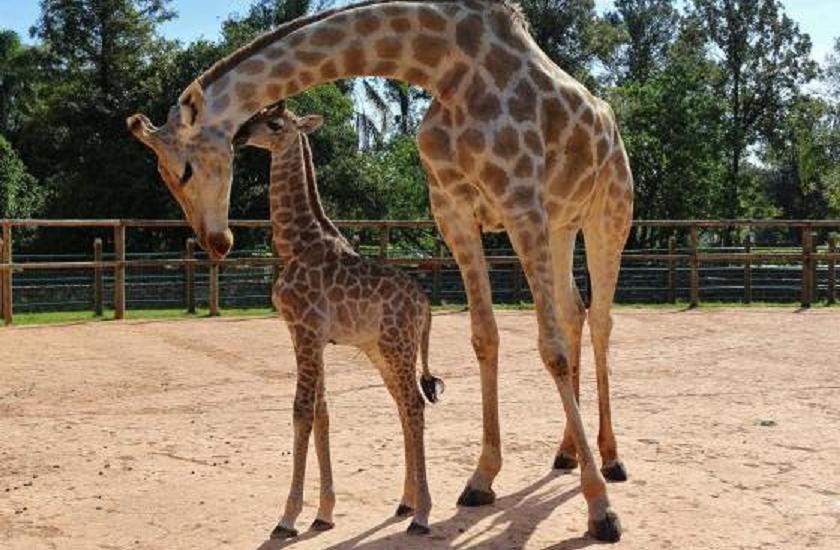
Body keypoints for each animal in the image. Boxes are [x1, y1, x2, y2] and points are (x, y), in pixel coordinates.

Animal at [235, 103, 446, 540]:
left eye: (274, 124)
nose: (240, 134)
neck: (294, 245)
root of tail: (425, 306)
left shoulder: (305, 331)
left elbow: (301, 411)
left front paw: (287, 518)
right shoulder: (308, 337)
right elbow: (322, 412)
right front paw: (324, 513)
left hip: (398, 347)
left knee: (415, 405)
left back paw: (421, 515)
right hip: (379, 351)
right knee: (403, 407)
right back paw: (406, 502)